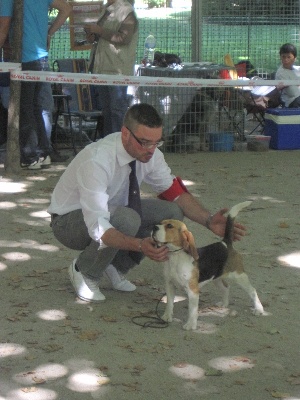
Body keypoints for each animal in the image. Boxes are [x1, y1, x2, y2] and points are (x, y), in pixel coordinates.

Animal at [152, 202, 264, 330]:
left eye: (169, 226)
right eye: (160, 223)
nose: (154, 227)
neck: (175, 257)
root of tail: (225, 243)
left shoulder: (193, 291)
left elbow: (192, 310)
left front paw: (190, 325)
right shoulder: (170, 285)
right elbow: (169, 303)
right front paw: (166, 316)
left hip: (239, 276)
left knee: (252, 291)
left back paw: (258, 309)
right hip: (216, 278)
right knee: (226, 287)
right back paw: (224, 303)